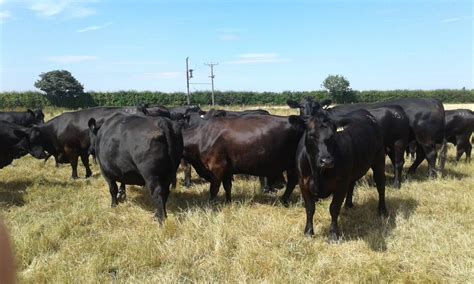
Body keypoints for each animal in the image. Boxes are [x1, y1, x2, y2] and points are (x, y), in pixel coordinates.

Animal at [286, 107, 386, 239]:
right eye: (311, 135)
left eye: (333, 136)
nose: (326, 161)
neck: (318, 173)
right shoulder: (303, 182)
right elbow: (310, 208)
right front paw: (308, 231)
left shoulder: (340, 185)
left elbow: (334, 208)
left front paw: (333, 234)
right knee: (352, 184)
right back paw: (348, 205)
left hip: (379, 160)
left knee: (381, 185)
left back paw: (382, 211)